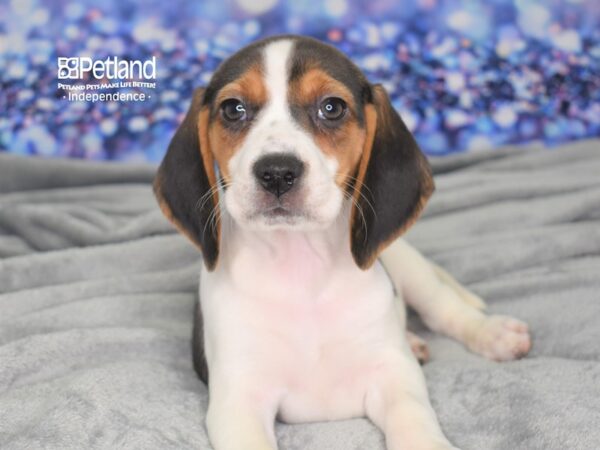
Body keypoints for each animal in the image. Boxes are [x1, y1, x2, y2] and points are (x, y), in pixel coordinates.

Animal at [154, 36, 528, 450]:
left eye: (331, 108)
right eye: (233, 109)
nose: (277, 172)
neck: (301, 265)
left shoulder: (395, 376)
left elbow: (414, 420)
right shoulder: (238, 399)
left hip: (409, 266)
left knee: (445, 310)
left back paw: (493, 334)